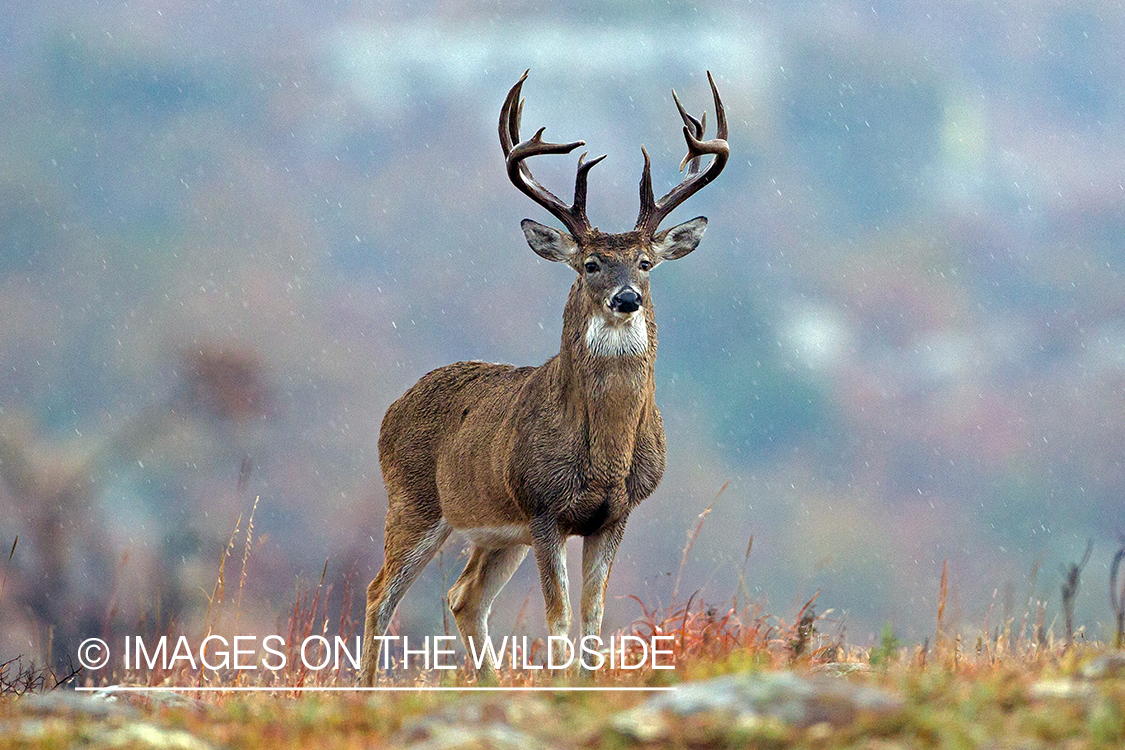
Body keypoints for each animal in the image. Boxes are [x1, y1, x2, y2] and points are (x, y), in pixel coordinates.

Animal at [360, 70, 729, 688]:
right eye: (590, 264)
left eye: (646, 264)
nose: (626, 298)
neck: (605, 454)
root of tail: (392, 409)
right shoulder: (544, 507)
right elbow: (558, 619)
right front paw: (561, 686)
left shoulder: (613, 514)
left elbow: (594, 616)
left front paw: (586, 686)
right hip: (415, 500)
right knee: (379, 593)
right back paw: (366, 688)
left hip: (495, 529)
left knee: (464, 597)